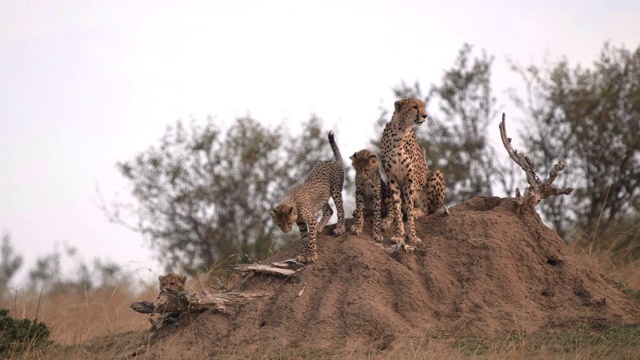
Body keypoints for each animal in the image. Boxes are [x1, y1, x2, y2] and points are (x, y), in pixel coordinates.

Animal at [380, 97, 444, 245]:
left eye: (424, 106)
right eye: (414, 107)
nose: (425, 116)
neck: (401, 131)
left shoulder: (410, 180)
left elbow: (409, 209)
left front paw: (412, 236)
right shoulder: (392, 178)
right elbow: (397, 209)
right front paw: (399, 235)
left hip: (436, 174)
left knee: (427, 209)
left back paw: (417, 211)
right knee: (392, 208)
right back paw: (386, 221)